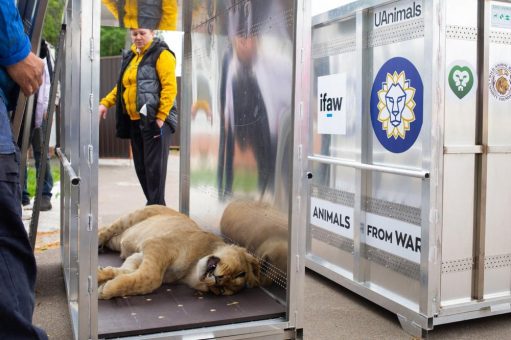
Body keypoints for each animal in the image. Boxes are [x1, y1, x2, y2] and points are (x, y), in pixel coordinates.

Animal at [96, 203, 260, 298]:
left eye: (221, 290)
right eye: (239, 273)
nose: (219, 280)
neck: (190, 271)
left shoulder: (138, 256)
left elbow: (125, 272)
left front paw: (103, 276)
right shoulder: (156, 244)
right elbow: (152, 279)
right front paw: (107, 289)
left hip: (116, 242)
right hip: (132, 217)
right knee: (105, 229)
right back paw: (97, 241)